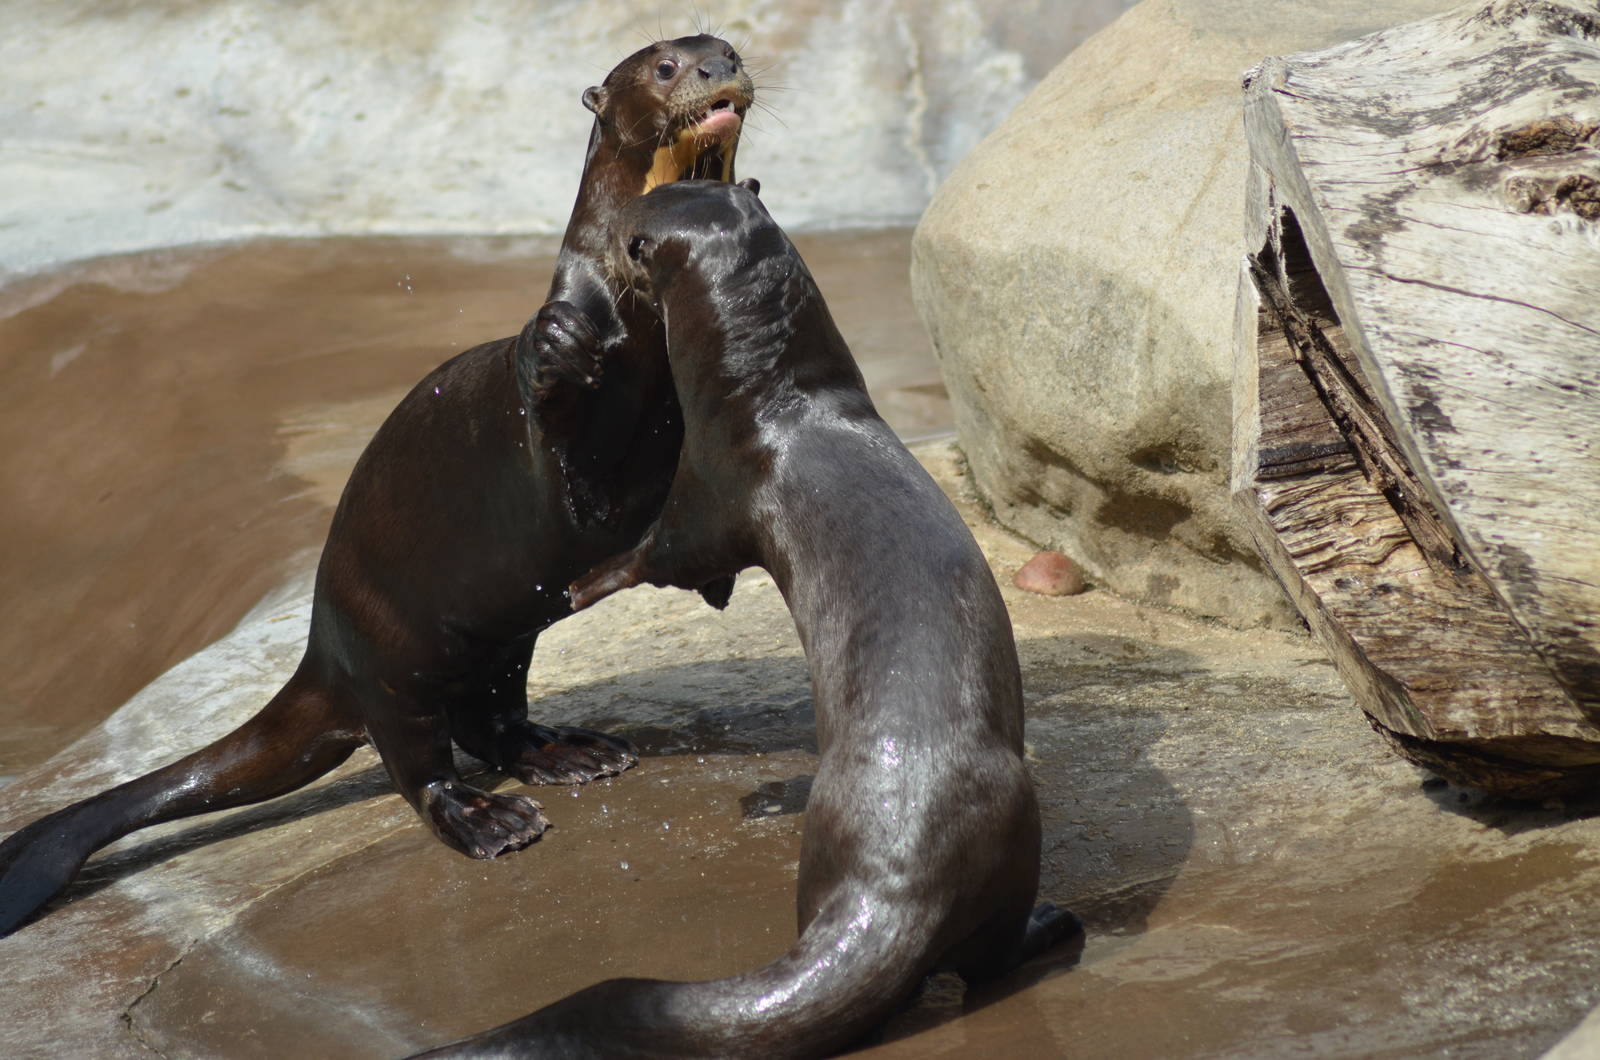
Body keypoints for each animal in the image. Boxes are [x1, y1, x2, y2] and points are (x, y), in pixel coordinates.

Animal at [0, 35, 754, 938]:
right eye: (667, 66)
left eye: (723, 46)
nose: (721, 66)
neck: (633, 305)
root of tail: (324, 647)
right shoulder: (554, 419)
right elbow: (573, 463)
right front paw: (568, 360)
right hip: (390, 652)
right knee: (417, 761)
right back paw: (488, 819)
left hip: (496, 643)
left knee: (492, 721)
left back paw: (570, 751)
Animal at [410, 182, 1079, 1058]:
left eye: (635, 234)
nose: (616, 235)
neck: (781, 404)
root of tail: (897, 886)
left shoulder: (710, 486)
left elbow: (656, 556)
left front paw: (583, 583)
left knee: (985, 959)